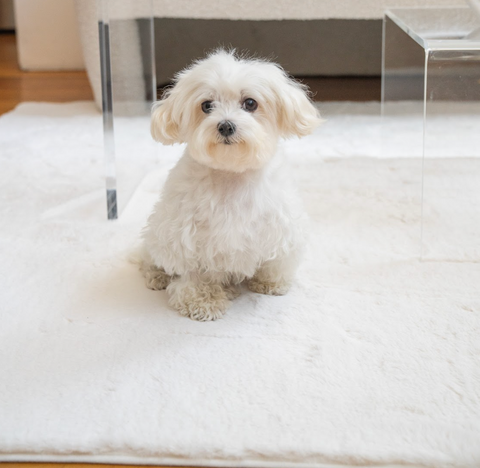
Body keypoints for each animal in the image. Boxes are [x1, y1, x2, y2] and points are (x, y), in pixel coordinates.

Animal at [142, 50, 322, 322]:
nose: (226, 125)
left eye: (250, 103)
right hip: (157, 233)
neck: (231, 174)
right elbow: (193, 273)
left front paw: (271, 282)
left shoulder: (281, 225)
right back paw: (156, 274)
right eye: (206, 105)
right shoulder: (184, 234)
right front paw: (202, 300)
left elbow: (276, 260)